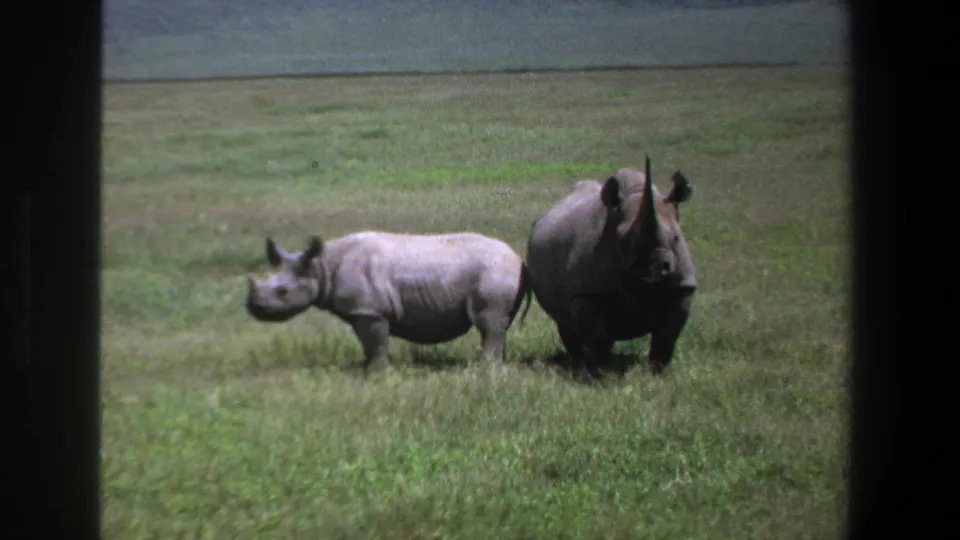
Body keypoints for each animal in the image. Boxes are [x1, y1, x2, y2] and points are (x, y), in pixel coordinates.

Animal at [245, 231, 533, 372]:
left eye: (282, 292)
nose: (254, 308)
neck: (321, 267)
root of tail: (518, 259)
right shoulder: (362, 311)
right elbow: (367, 344)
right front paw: (365, 368)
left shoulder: (370, 311)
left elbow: (376, 343)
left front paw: (376, 374)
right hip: (501, 272)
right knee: (499, 324)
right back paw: (499, 366)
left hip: (495, 271)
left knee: (489, 323)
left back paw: (487, 370)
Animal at [524, 155, 696, 376]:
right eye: (622, 239)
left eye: (676, 238)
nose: (657, 267)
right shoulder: (587, 292)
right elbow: (597, 337)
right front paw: (601, 372)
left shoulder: (682, 286)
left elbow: (667, 336)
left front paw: (658, 372)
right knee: (566, 322)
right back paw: (578, 363)